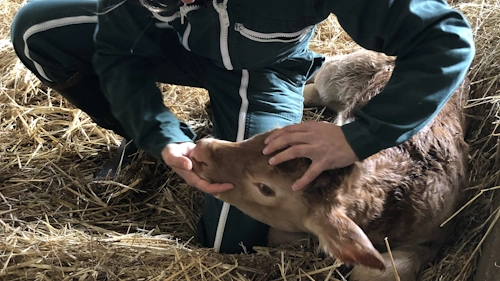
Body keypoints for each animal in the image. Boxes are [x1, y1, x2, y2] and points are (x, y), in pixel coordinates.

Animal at [189, 49, 470, 278]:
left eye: (265, 188)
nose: (203, 150)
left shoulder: (436, 235)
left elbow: (376, 272)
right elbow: (278, 236)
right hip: (341, 71)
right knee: (315, 84)